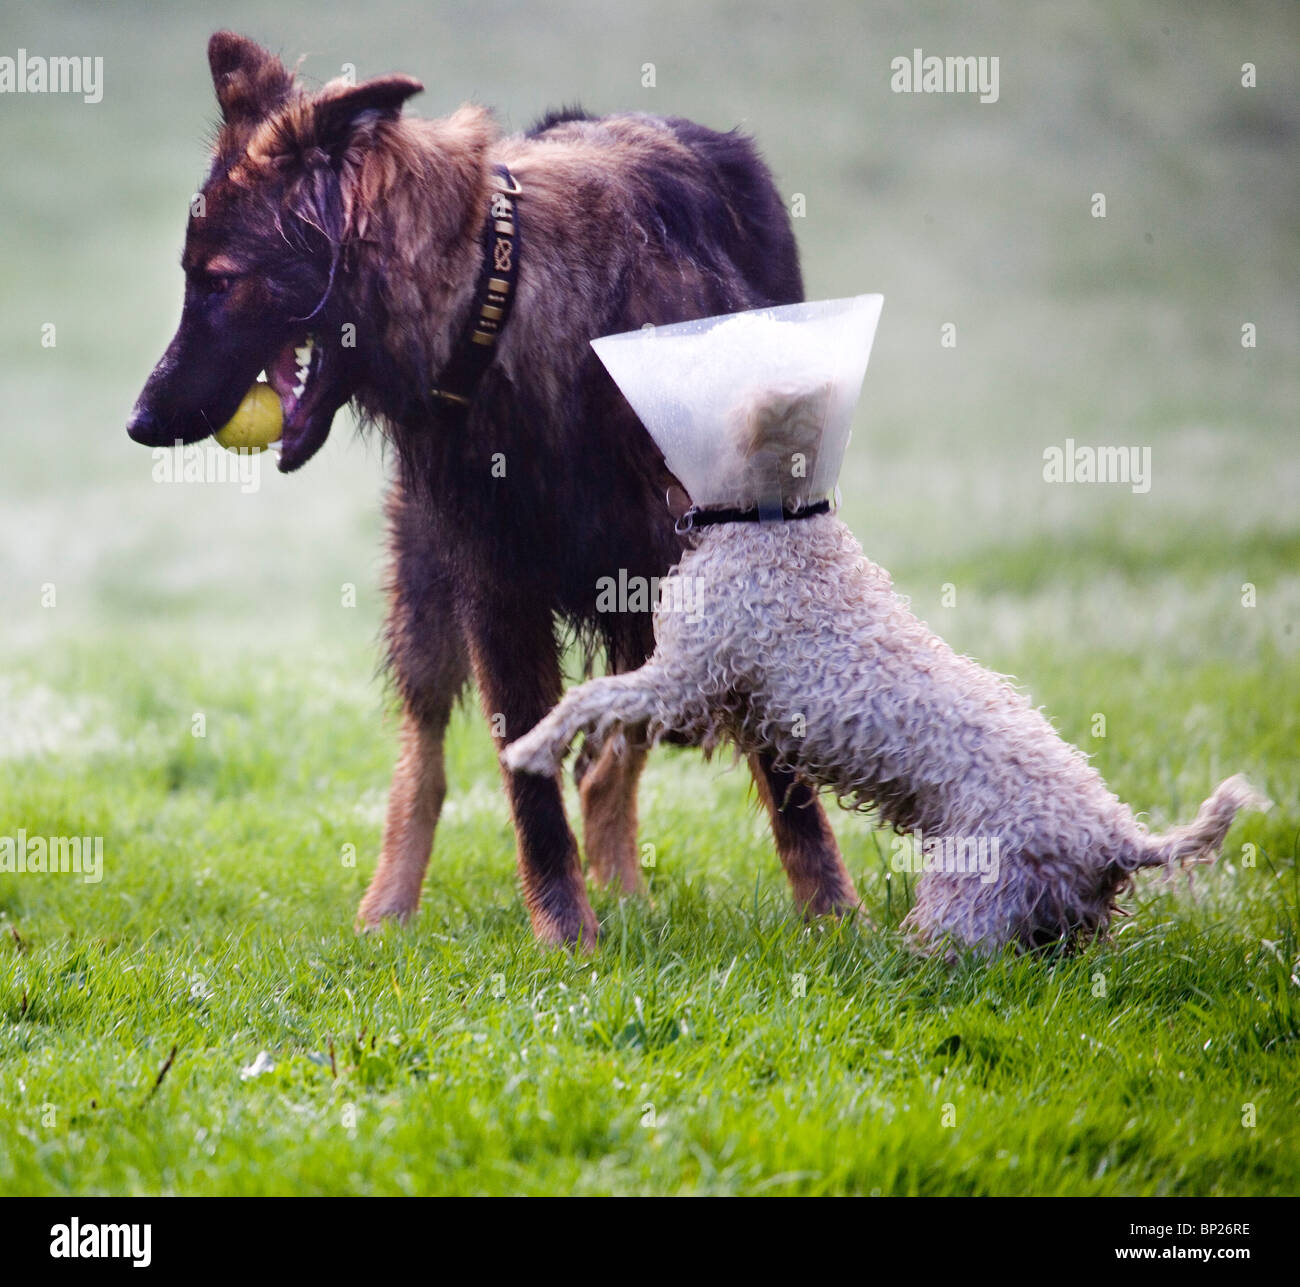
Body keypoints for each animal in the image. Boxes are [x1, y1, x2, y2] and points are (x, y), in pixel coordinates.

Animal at [124, 32, 863, 946]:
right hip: (427, 581)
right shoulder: (496, 587)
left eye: (220, 280)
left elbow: (786, 780)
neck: (504, 305)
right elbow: (526, 781)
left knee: (606, 759)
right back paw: (390, 909)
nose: (140, 420)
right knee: (428, 756)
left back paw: (626, 890)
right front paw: (567, 933)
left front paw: (835, 916)